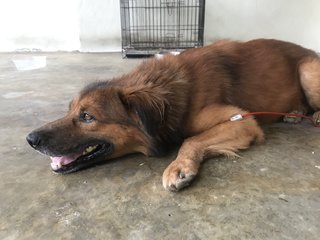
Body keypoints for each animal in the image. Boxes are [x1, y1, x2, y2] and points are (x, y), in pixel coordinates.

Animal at [26, 39, 320, 193]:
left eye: (87, 116)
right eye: (70, 110)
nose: (30, 139)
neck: (173, 91)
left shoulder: (241, 119)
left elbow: (191, 140)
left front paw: (179, 167)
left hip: (307, 69)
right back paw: (295, 113)